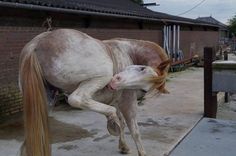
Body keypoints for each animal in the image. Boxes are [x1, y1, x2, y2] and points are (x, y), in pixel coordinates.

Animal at [18, 28, 170, 155]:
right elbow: (134, 130)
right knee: (76, 99)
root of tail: (38, 43)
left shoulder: (117, 101)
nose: (114, 83)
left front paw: (123, 146)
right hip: (101, 76)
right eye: (142, 69)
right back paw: (111, 120)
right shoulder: (127, 101)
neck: (129, 52)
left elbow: (123, 123)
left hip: (45, 102)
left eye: (144, 88)